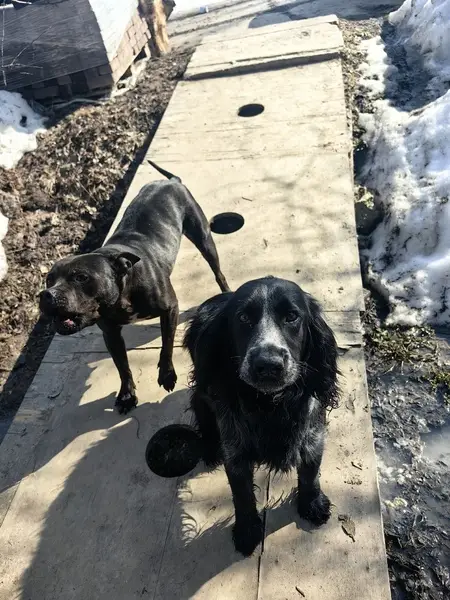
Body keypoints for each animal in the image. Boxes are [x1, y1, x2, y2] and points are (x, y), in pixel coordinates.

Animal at [39, 161, 230, 414]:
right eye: (49, 280)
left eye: (80, 277)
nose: (46, 295)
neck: (123, 289)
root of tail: (172, 181)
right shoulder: (110, 334)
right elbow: (122, 366)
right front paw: (127, 394)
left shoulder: (170, 309)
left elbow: (166, 344)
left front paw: (166, 374)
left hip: (204, 238)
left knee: (217, 271)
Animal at [183, 276, 339, 556]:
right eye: (244, 318)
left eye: (292, 316)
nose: (268, 365)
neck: (270, 405)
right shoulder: (235, 451)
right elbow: (242, 494)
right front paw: (247, 532)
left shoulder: (312, 435)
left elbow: (310, 472)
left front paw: (312, 504)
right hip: (203, 394)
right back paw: (210, 447)